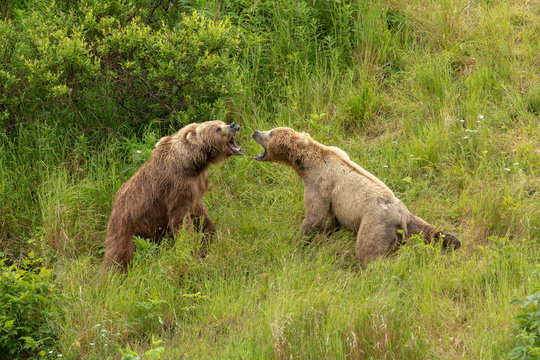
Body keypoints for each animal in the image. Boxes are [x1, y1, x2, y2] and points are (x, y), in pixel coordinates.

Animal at [103, 121, 243, 270]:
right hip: (127, 226)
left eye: (222, 123)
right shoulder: (176, 187)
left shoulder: (196, 187)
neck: (192, 164)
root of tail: (113, 207)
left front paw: (208, 234)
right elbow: (181, 220)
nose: (233, 125)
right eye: (217, 129)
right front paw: (192, 250)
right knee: (118, 255)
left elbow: (200, 213)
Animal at [250, 127, 460, 268]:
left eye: (271, 133)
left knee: (368, 252)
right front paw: (329, 228)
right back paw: (452, 240)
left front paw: (297, 241)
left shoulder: (319, 184)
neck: (306, 166)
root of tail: (400, 215)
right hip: (411, 219)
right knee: (429, 230)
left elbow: (315, 216)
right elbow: (331, 217)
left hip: (375, 222)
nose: (255, 131)